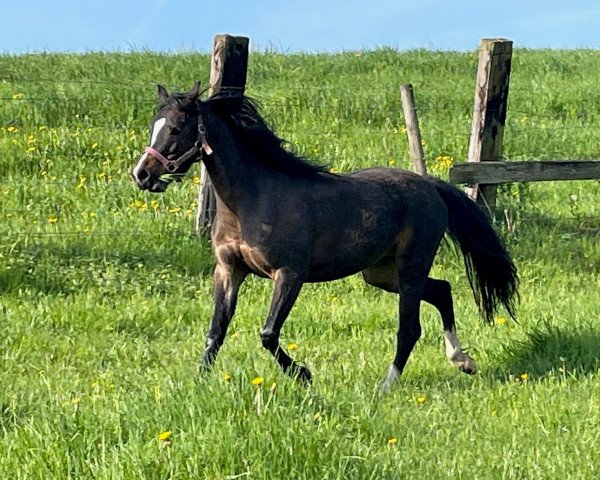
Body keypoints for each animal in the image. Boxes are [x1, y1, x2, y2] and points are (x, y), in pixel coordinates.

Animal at [134, 80, 516, 392]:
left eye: (177, 128)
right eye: (154, 126)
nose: (141, 174)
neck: (250, 202)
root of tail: (430, 186)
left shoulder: (289, 274)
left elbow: (268, 334)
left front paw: (304, 374)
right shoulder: (229, 271)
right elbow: (215, 332)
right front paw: (198, 383)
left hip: (410, 266)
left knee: (409, 328)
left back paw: (386, 386)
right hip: (380, 273)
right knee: (441, 290)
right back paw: (463, 361)